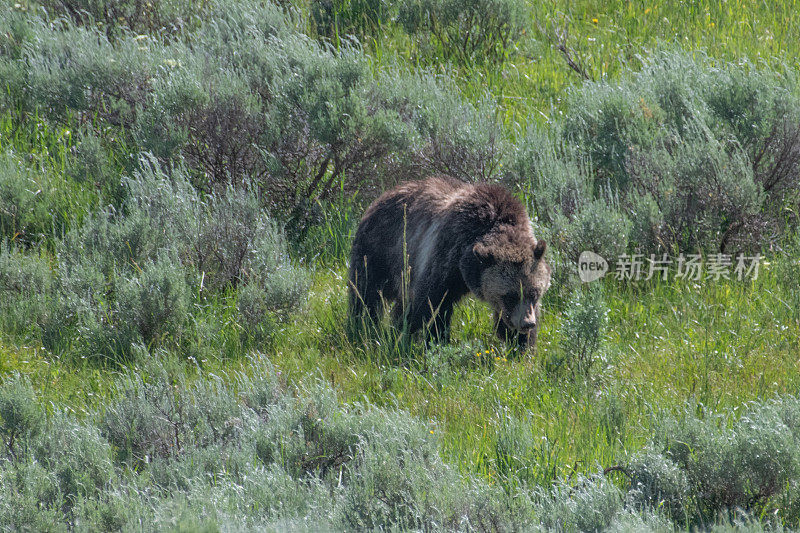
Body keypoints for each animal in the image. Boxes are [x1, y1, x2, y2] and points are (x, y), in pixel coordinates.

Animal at [350, 175, 552, 350]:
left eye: (534, 293)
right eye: (510, 295)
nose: (527, 323)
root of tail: (380, 197)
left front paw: (521, 346)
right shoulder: (444, 257)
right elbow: (431, 306)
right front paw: (431, 339)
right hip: (379, 252)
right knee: (366, 294)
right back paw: (362, 327)